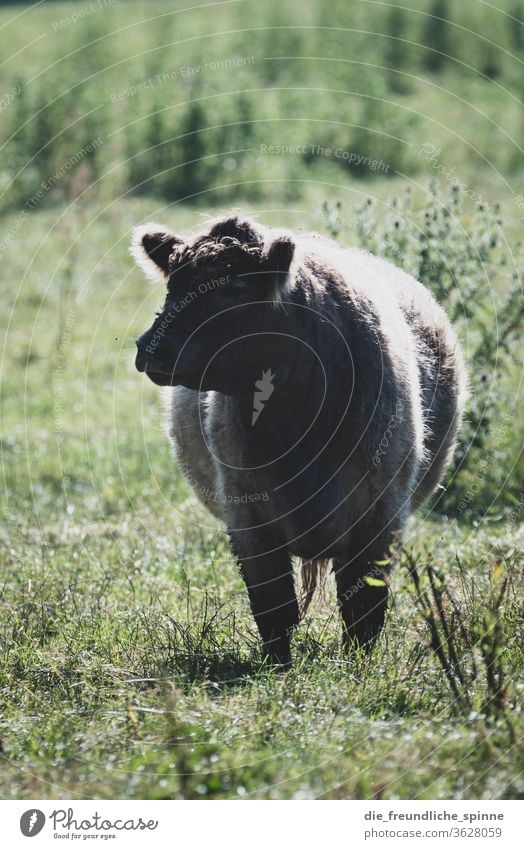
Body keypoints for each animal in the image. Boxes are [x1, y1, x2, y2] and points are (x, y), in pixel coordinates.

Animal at [131, 215, 466, 664]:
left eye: (236, 289)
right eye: (173, 284)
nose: (150, 347)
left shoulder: (380, 513)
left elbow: (363, 604)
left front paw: (359, 664)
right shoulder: (247, 517)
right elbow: (273, 604)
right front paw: (278, 665)